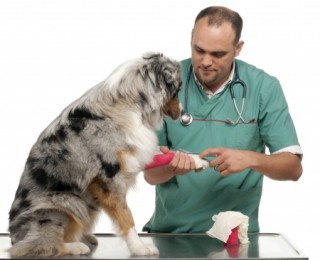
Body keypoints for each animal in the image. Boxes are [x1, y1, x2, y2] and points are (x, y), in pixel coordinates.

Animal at [7, 51, 181, 256]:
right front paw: (139, 248)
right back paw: (74, 246)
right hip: (66, 202)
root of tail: (14, 237)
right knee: (42, 244)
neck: (129, 102)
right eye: (178, 89)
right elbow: (126, 215)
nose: (181, 113)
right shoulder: (109, 178)